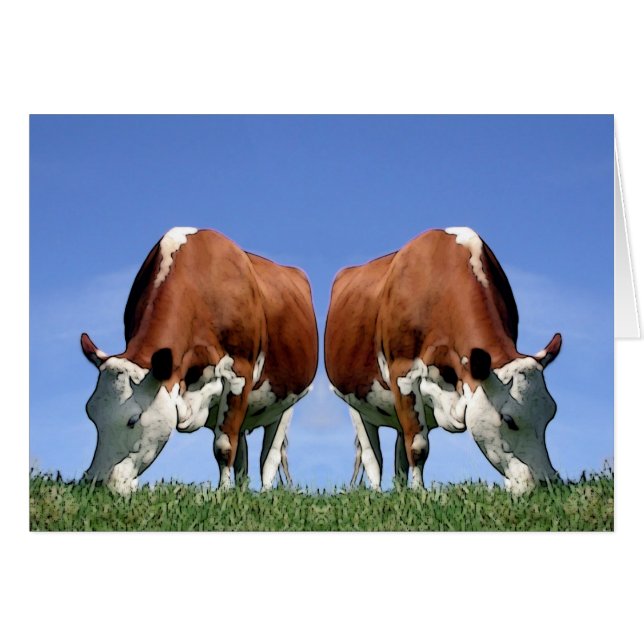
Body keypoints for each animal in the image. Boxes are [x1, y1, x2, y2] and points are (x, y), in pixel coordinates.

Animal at [80, 227, 318, 494]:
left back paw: (265, 492)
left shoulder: (240, 373)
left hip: (288, 401)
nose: (96, 484)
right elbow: (233, 448)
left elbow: (224, 446)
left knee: (269, 455)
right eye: (91, 413)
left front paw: (222, 493)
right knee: (243, 454)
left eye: (133, 419)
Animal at [324, 227, 562, 495]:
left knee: (398, 454)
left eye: (551, 414)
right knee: (372, 456)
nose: (546, 484)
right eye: (509, 420)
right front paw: (419, 493)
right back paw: (376, 492)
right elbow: (417, 447)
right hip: (353, 401)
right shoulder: (403, 373)